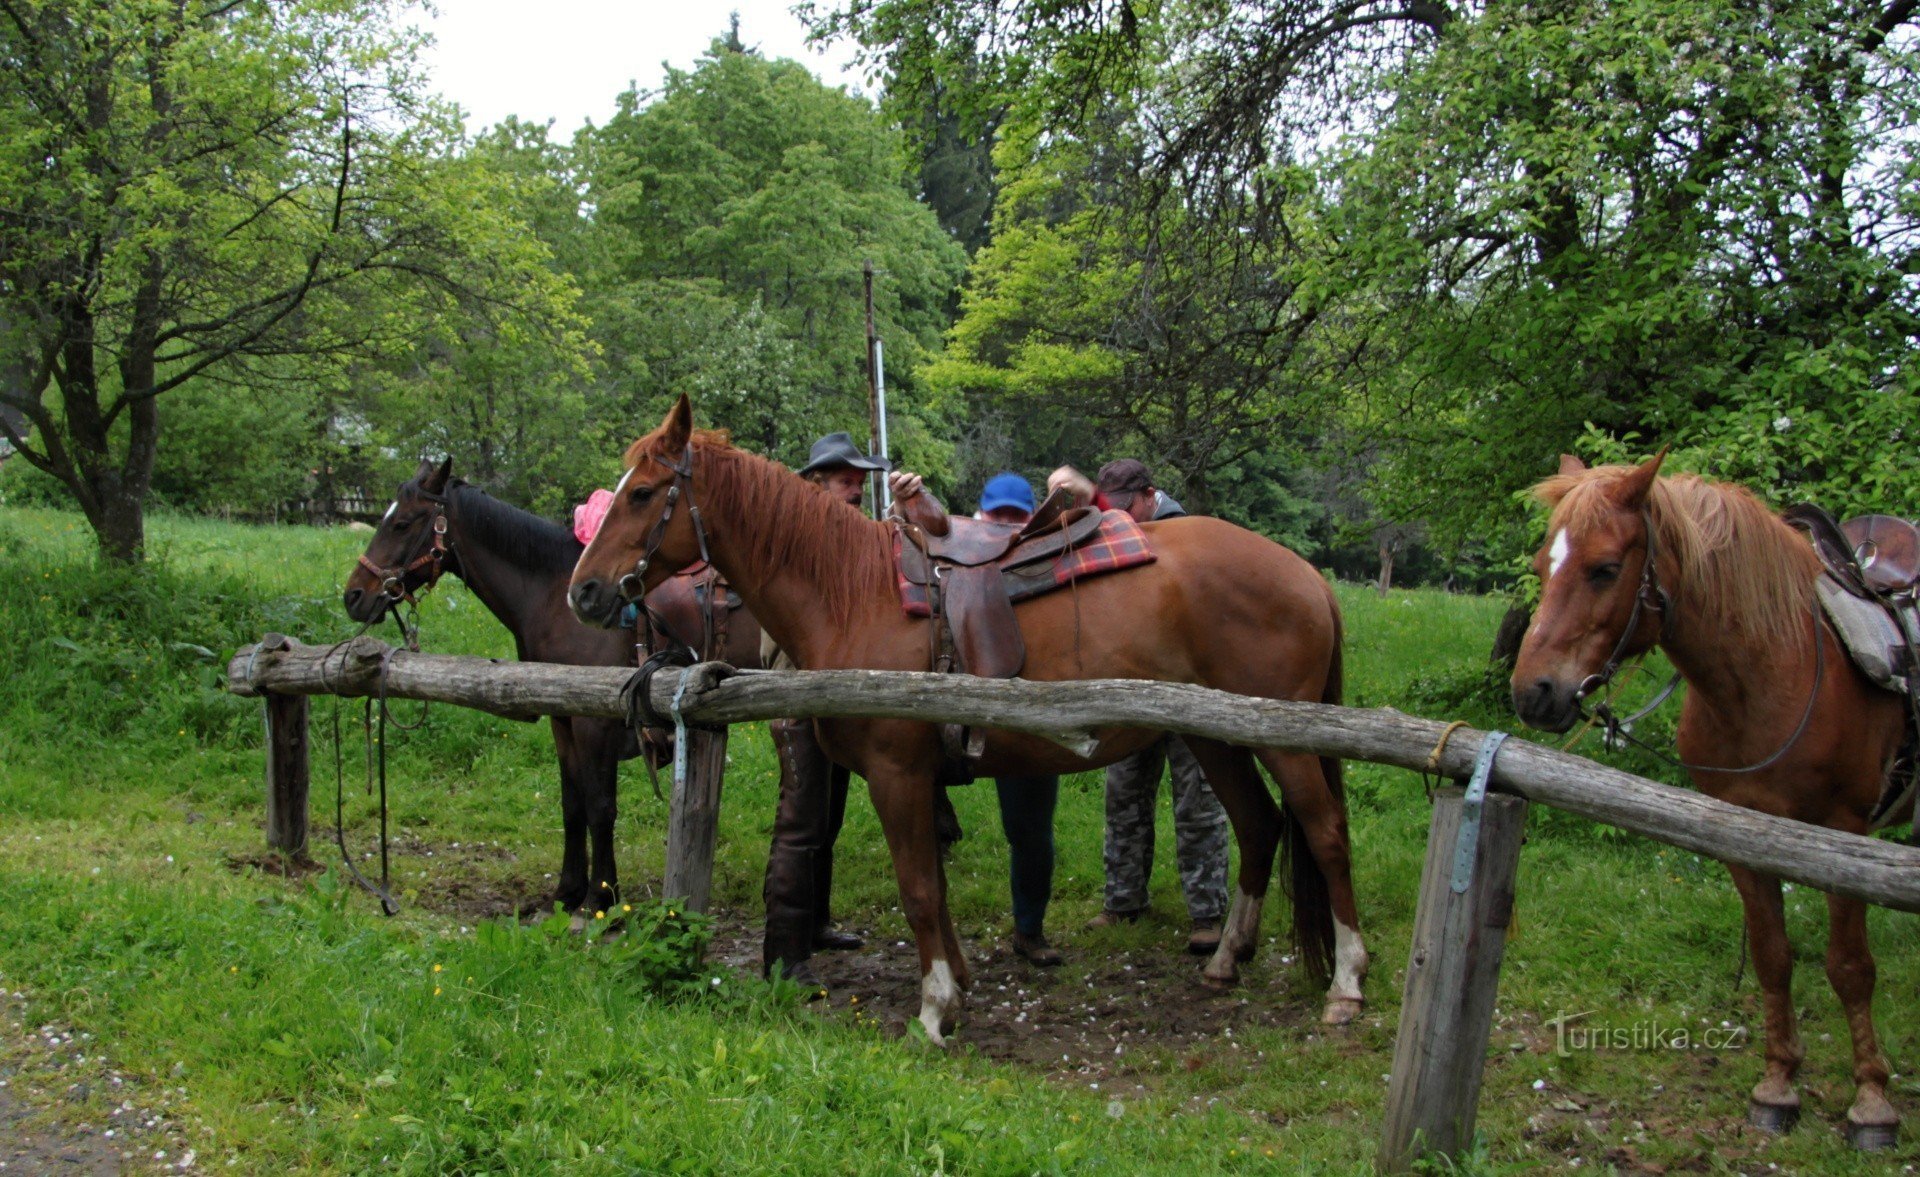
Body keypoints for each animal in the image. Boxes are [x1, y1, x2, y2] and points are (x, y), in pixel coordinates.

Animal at [345, 455, 764, 921]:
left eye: (402, 523)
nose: (354, 595)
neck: (552, 595)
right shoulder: (561, 719)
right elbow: (572, 806)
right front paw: (567, 892)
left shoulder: (593, 723)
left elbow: (600, 807)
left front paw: (601, 897)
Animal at [560, 399, 1359, 1044]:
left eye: (642, 492)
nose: (584, 591)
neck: (854, 593)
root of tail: (1309, 576)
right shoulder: (913, 777)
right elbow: (934, 888)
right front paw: (960, 986)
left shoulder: (896, 772)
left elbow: (917, 890)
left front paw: (934, 1010)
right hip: (1217, 734)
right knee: (1259, 826)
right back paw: (1225, 960)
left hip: (1284, 743)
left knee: (1322, 832)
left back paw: (1347, 985)